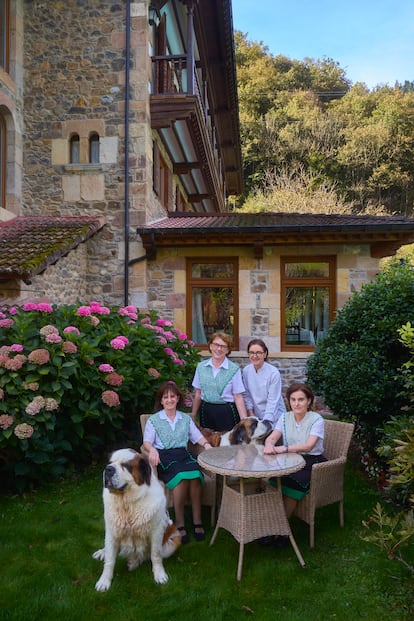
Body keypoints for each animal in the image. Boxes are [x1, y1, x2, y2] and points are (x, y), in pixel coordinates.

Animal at [93, 448, 180, 588]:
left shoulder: (156, 532)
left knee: (145, 555)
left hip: (174, 540)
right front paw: (104, 581)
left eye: (126, 465)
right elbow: (110, 559)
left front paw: (159, 575)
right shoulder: (112, 531)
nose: (108, 469)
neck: (127, 503)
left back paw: (134, 562)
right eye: (110, 462)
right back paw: (102, 552)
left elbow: (155, 555)